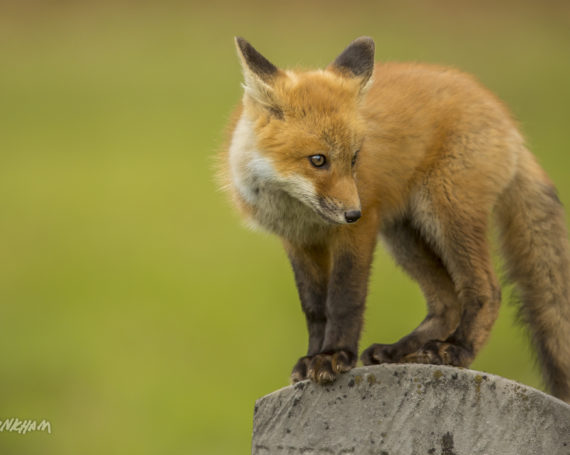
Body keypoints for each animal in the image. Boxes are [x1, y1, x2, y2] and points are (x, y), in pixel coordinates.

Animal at [220, 37, 568, 404]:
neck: (299, 210)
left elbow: (344, 300)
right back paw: (401, 350)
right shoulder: (298, 241)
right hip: (405, 236)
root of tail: (508, 122)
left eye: (354, 159)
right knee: (446, 301)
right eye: (318, 160)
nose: (352, 213)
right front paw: (311, 358)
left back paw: (457, 349)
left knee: (486, 288)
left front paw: (335, 355)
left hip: (445, 217)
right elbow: (315, 309)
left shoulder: (359, 232)